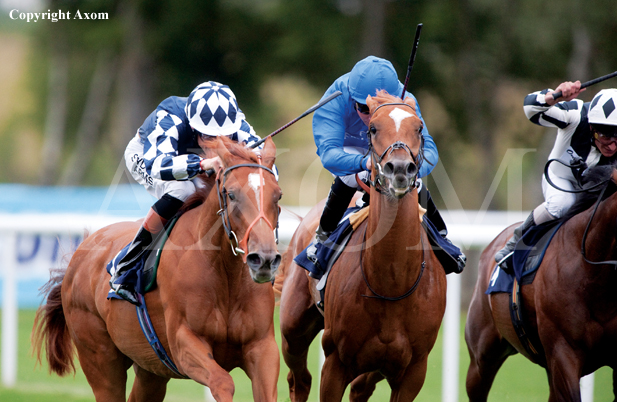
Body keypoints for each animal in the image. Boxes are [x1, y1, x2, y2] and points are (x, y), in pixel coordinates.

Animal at [32, 137, 282, 400]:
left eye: (278, 195)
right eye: (232, 194)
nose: (264, 259)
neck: (225, 275)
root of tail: (77, 259)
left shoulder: (262, 347)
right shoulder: (184, 343)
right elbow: (223, 382)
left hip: (151, 367)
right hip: (100, 359)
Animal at [276, 91, 446, 402]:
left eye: (418, 127)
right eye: (373, 128)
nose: (400, 168)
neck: (392, 282)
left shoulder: (413, 370)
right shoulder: (334, 362)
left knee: (360, 387)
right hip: (293, 328)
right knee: (299, 379)